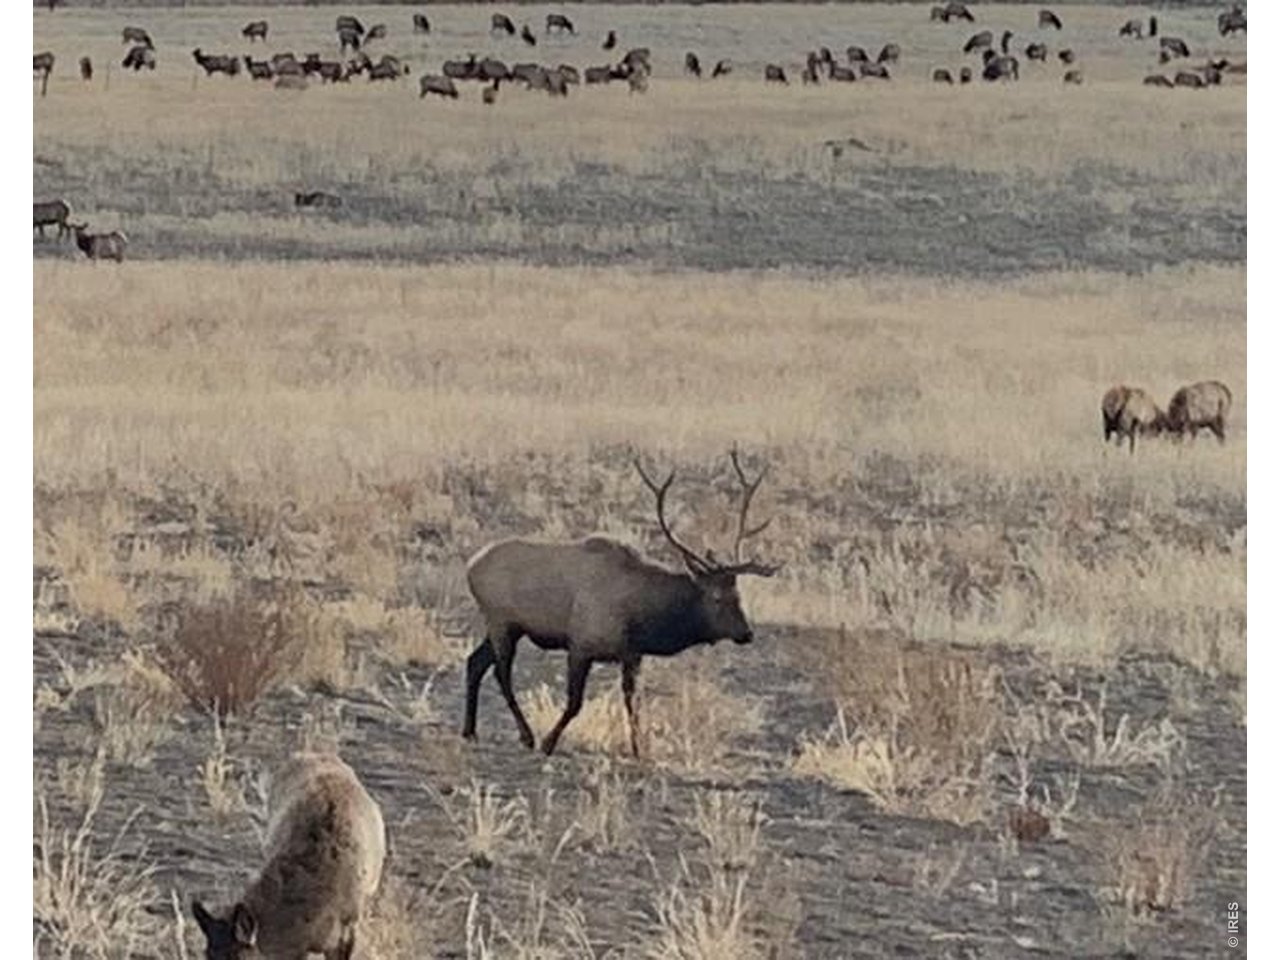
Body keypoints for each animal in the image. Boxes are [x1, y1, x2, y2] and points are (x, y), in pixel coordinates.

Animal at [462, 449, 780, 757]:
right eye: (717, 597)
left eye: (739, 595)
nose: (747, 633)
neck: (640, 618)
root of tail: (471, 565)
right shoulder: (581, 645)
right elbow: (575, 703)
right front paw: (549, 742)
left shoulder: (632, 655)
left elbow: (633, 702)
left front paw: (639, 749)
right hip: (501, 621)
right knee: (501, 673)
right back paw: (526, 735)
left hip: (508, 627)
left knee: (474, 662)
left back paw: (470, 731)